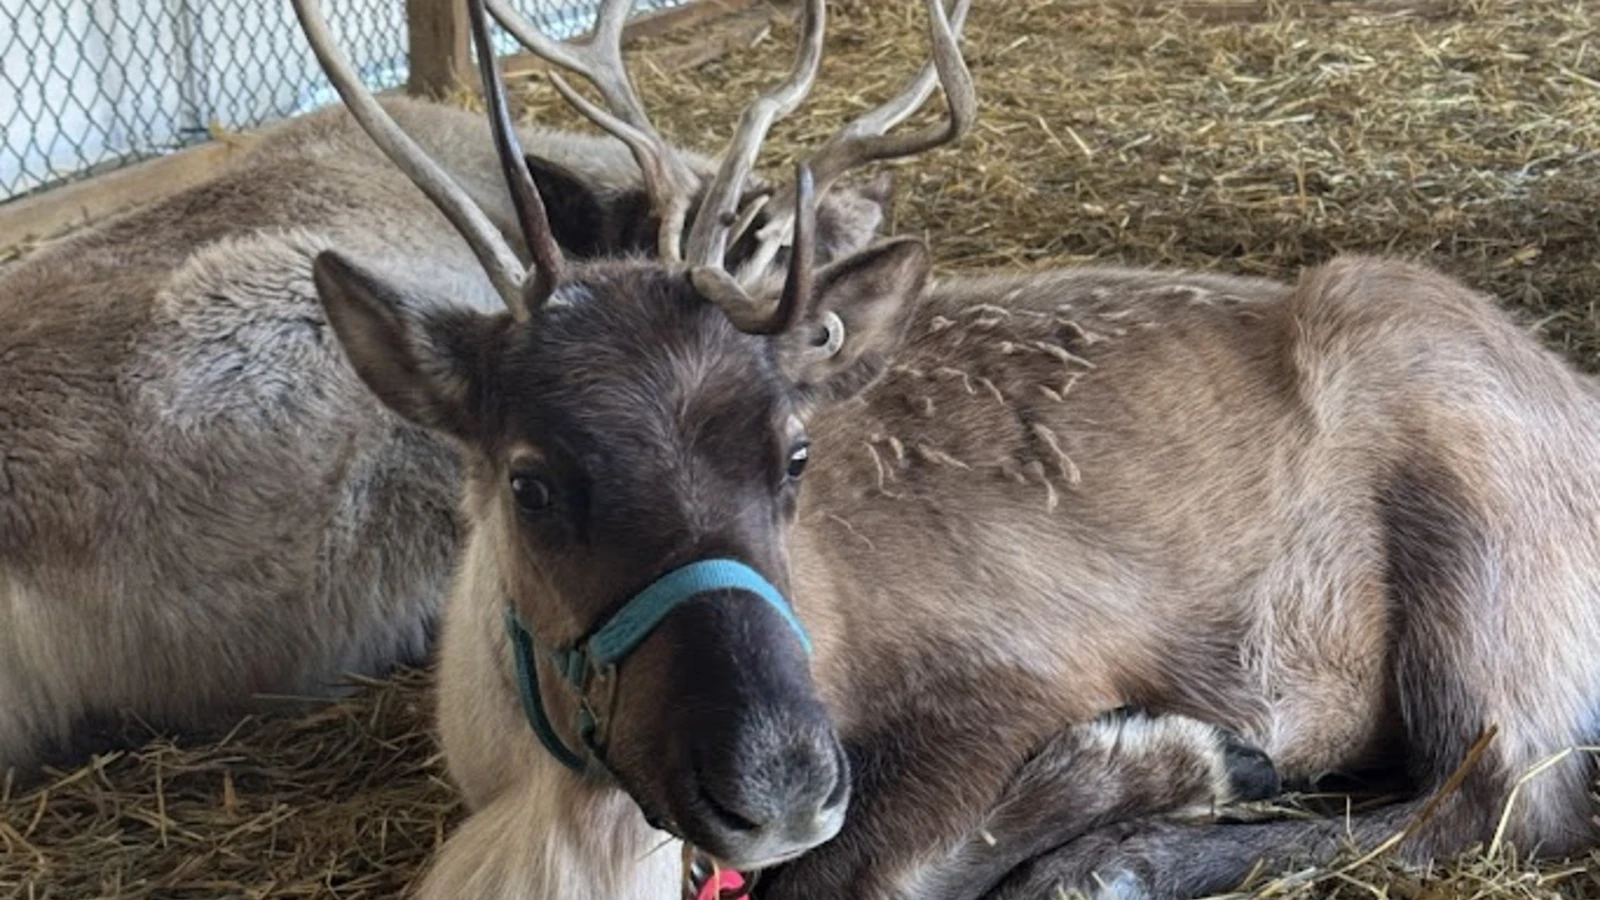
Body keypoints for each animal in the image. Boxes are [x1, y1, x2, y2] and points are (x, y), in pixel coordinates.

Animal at [295, 0, 1600, 898]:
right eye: (530, 480)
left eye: (794, 457)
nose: (779, 785)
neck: (534, 795)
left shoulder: (1015, 669)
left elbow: (868, 871)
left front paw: (1162, 767)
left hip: (1482, 572)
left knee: (1494, 800)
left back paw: (1120, 861)